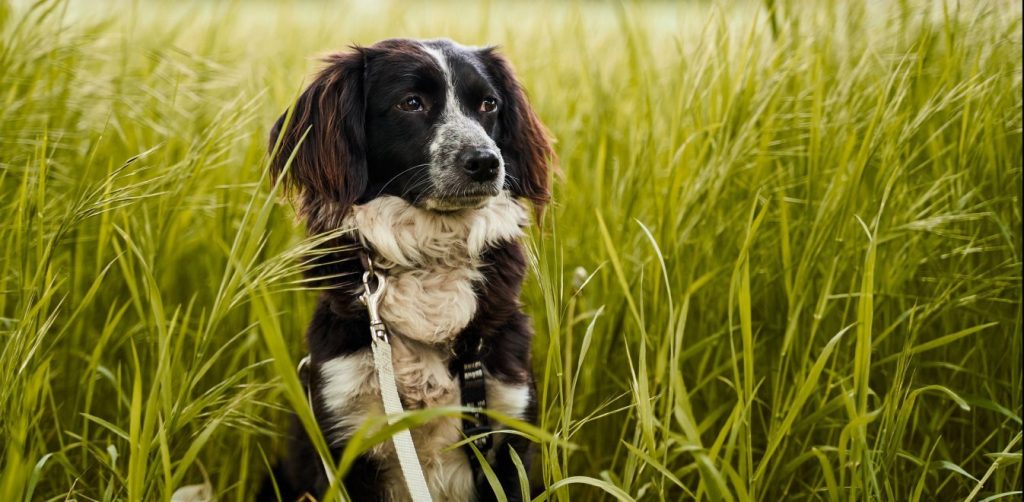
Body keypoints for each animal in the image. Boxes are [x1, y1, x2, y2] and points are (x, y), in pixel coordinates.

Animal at [260, 39, 557, 501]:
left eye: (488, 104)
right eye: (411, 103)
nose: (486, 162)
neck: (430, 257)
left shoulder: (507, 429)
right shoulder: (346, 435)